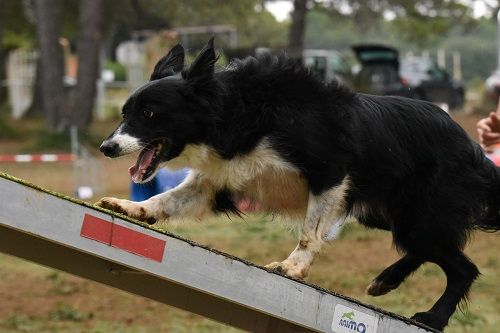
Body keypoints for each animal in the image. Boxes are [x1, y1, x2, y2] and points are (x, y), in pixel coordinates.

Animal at [97, 38, 500, 330]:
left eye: (150, 113)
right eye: (124, 113)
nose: (106, 147)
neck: (238, 113)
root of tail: (475, 150)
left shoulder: (331, 172)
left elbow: (310, 231)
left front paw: (292, 267)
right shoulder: (218, 181)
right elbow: (168, 197)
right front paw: (130, 207)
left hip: (421, 213)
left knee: (462, 268)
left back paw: (432, 317)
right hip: (389, 216)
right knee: (429, 251)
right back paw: (386, 281)